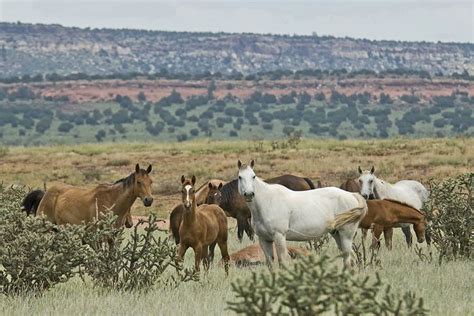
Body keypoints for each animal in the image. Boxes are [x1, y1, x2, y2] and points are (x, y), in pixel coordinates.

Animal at [237, 160, 366, 270]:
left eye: (253, 176)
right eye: (239, 177)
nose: (249, 194)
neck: (267, 201)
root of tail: (352, 195)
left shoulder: (279, 237)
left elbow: (283, 260)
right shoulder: (264, 240)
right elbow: (270, 263)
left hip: (346, 234)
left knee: (349, 259)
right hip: (337, 234)